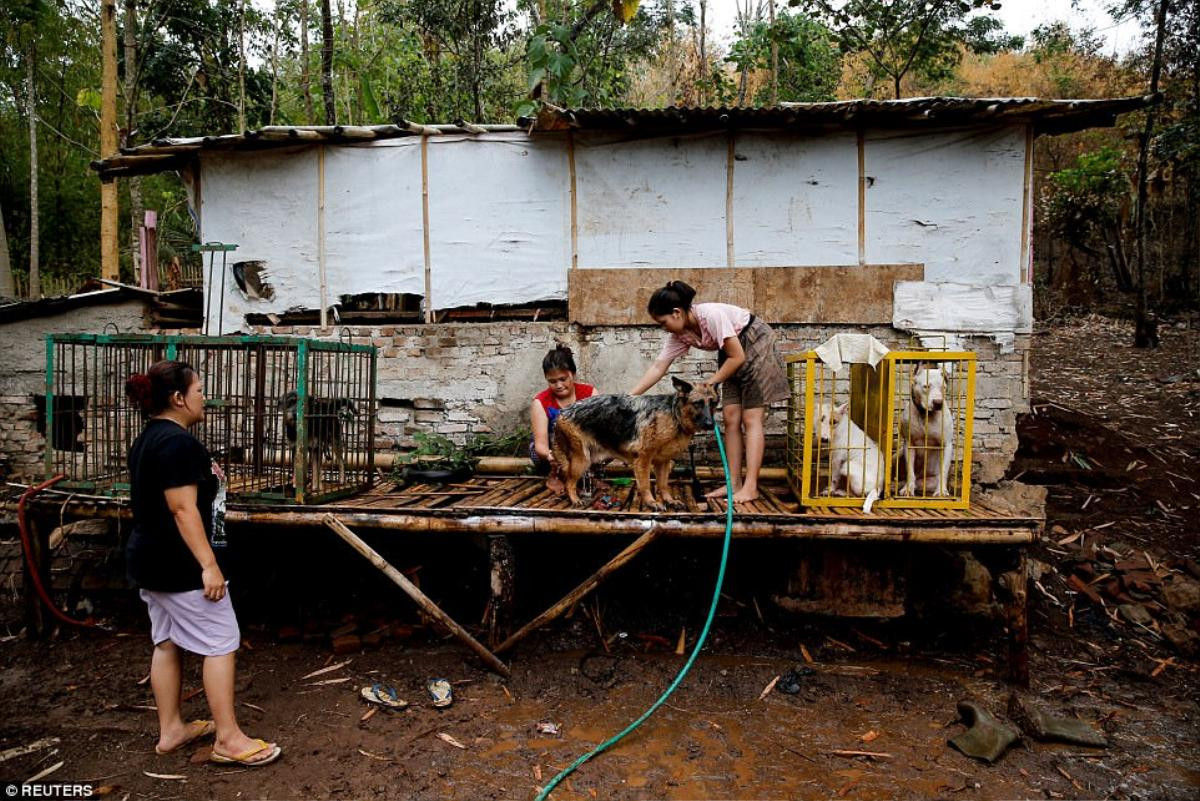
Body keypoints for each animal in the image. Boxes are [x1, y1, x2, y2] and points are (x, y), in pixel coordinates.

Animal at [549, 376, 715, 513]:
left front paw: (669, 500)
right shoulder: (643, 459)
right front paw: (651, 502)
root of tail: (562, 413)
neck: (674, 415)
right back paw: (575, 499)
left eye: (713, 403)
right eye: (698, 403)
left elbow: (663, 484)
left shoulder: (663, 462)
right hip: (582, 460)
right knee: (569, 482)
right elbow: (645, 484)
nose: (710, 424)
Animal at [902, 366, 955, 496]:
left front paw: (941, 492)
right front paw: (908, 489)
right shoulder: (909, 444)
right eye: (926, 386)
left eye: (943, 387)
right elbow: (910, 470)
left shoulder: (947, 445)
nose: (938, 403)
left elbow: (943, 470)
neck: (925, 414)